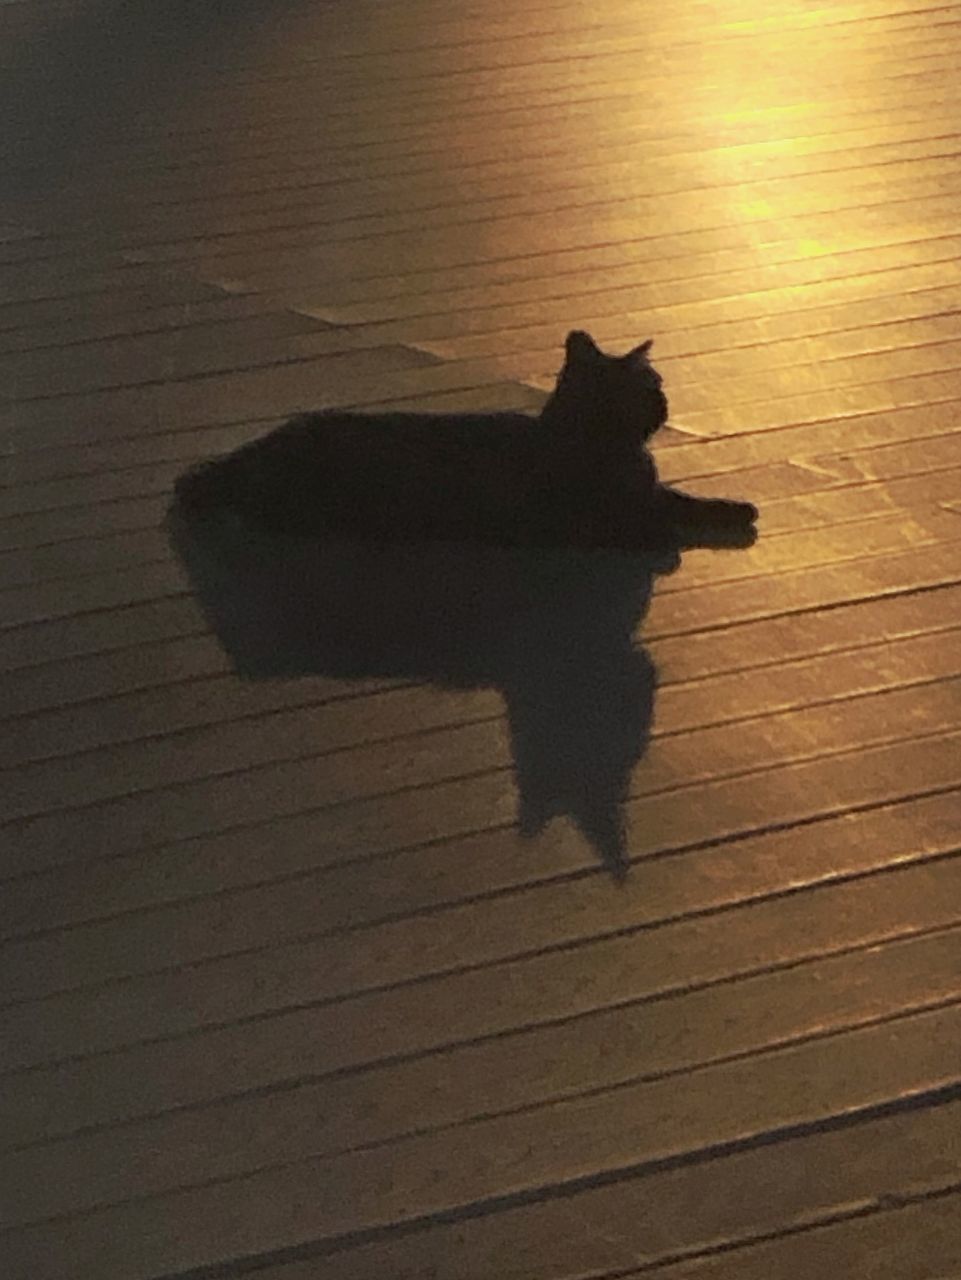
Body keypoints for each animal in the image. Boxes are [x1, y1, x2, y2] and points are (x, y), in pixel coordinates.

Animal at [175, 327, 757, 547]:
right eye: (651, 389)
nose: (666, 407)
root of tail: (254, 449)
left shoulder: (649, 490)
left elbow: (686, 499)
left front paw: (733, 508)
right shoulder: (577, 517)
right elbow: (649, 521)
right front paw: (670, 534)